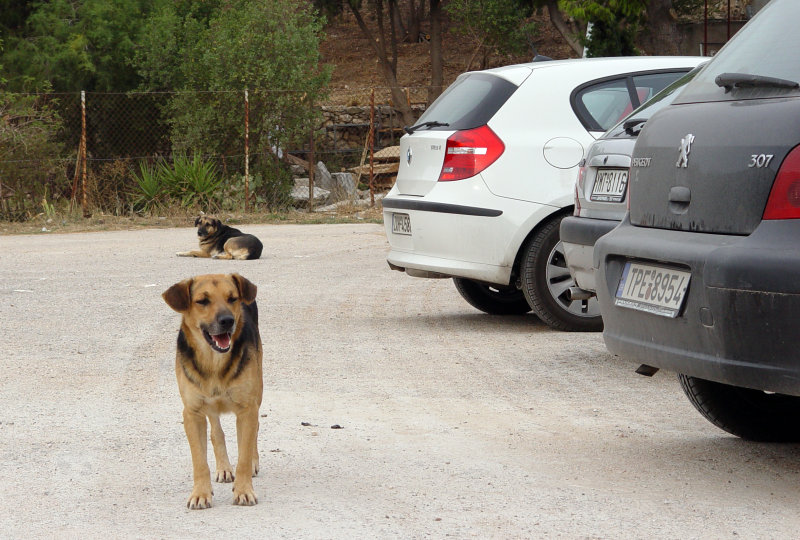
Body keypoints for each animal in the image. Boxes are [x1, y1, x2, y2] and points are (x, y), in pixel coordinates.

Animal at [162, 274, 262, 510]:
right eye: (202, 301)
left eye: (232, 298)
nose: (227, 321)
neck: (214, 361)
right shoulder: (192, 412)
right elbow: (199, 461)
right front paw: (200, 494)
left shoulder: (247, 409)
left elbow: (244, 456)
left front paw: (244, 491)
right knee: (217, 432)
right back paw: (224, 468)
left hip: (258, 392)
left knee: (253, 433)